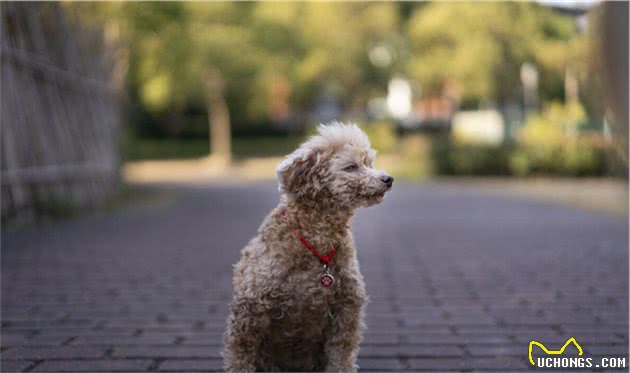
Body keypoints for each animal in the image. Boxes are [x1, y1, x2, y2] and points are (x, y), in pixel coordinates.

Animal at [225, 122, 396, 370]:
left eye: (368, 164)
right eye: (351, 167)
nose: (388, 179)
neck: (318, 240)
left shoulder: (346, 312)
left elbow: (341, 358)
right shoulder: (250, 310)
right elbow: (240, 357)